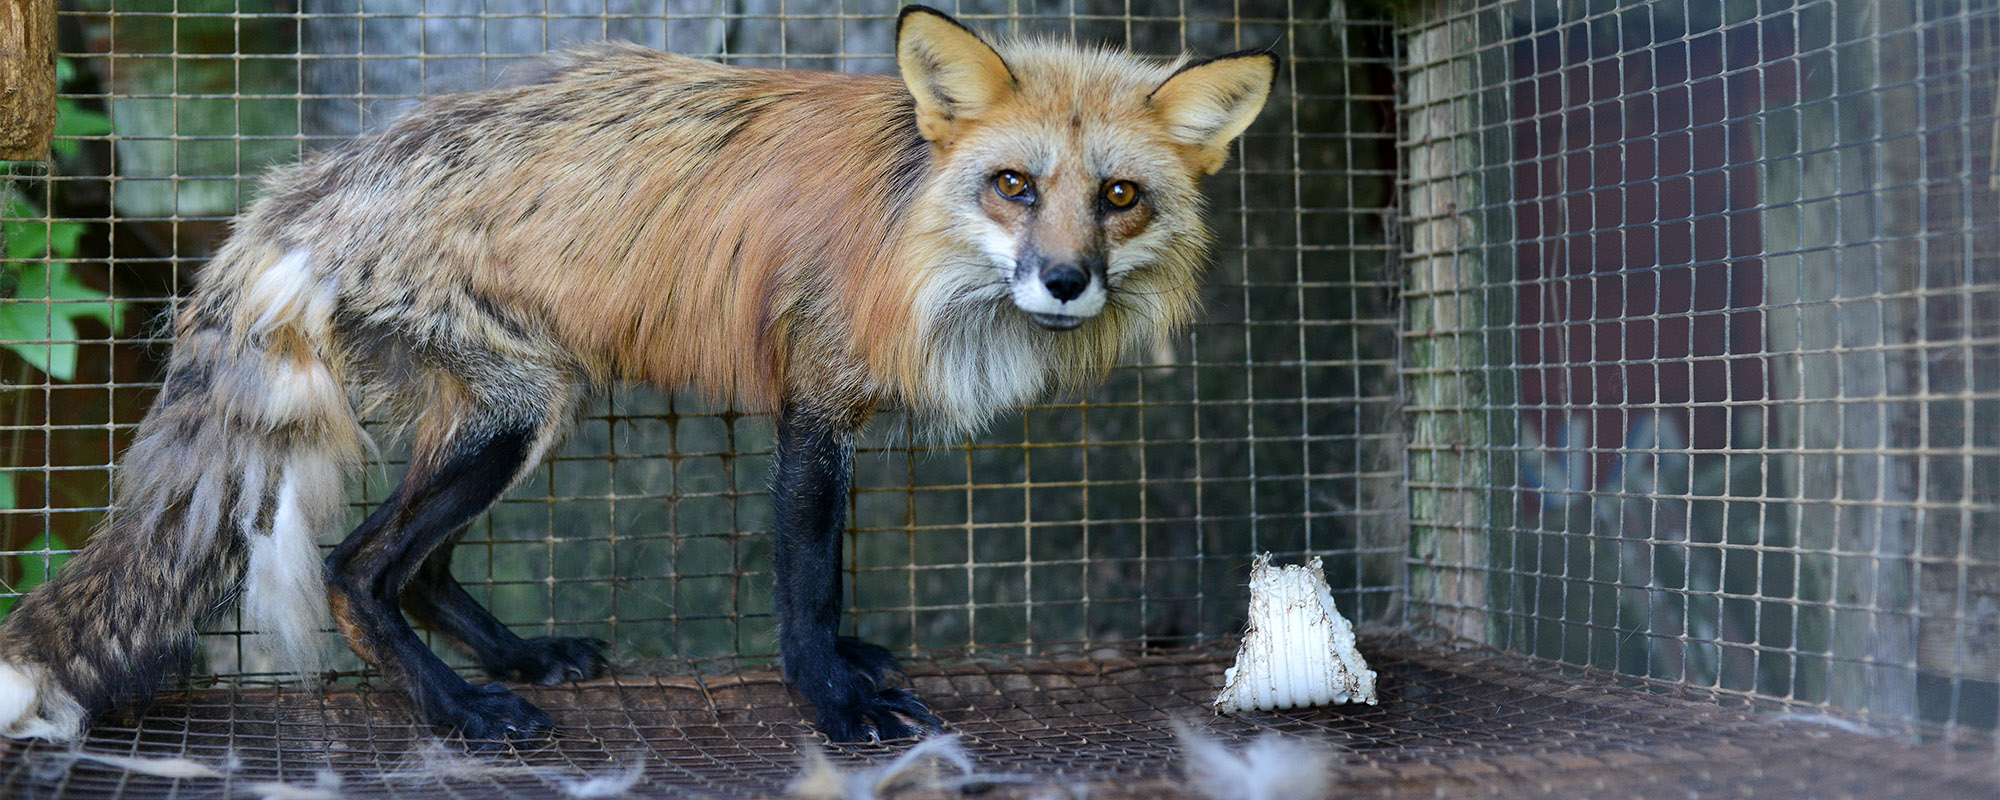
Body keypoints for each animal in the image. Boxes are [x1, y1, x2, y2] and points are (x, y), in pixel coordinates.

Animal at [0, 6, 1280, 744]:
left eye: (1118, 196)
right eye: (1013, 184)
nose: (1064, 280)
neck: (912, 230)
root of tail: (310, 187)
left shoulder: (836, 411)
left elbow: (830, 575)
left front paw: (850, 665)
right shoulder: (814, 398)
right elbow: (806, 580)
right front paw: (831, 698)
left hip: (526, 408)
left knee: (421, 564)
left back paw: (517, 655)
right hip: (510, 414)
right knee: (354, 566)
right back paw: (461, 706)